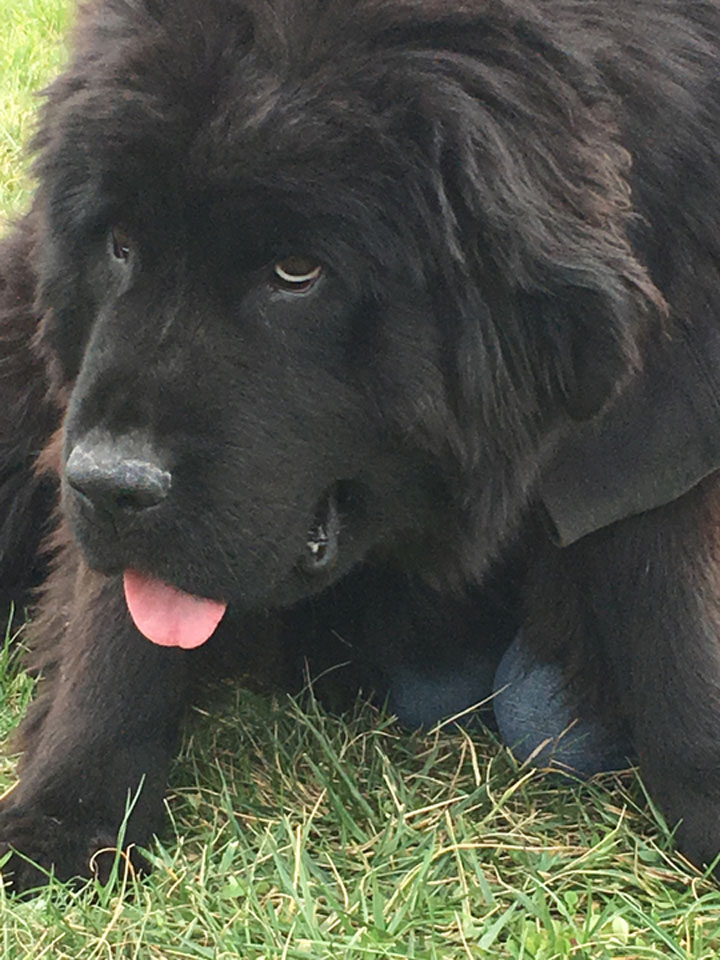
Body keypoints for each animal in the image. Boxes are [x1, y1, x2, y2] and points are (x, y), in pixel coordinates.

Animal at [1, 0, 720, 888]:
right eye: (120, 245)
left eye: (296, 271)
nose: (108, 482)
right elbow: (117, 625)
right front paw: (65, 815)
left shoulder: (665, 406)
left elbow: (665, 586)